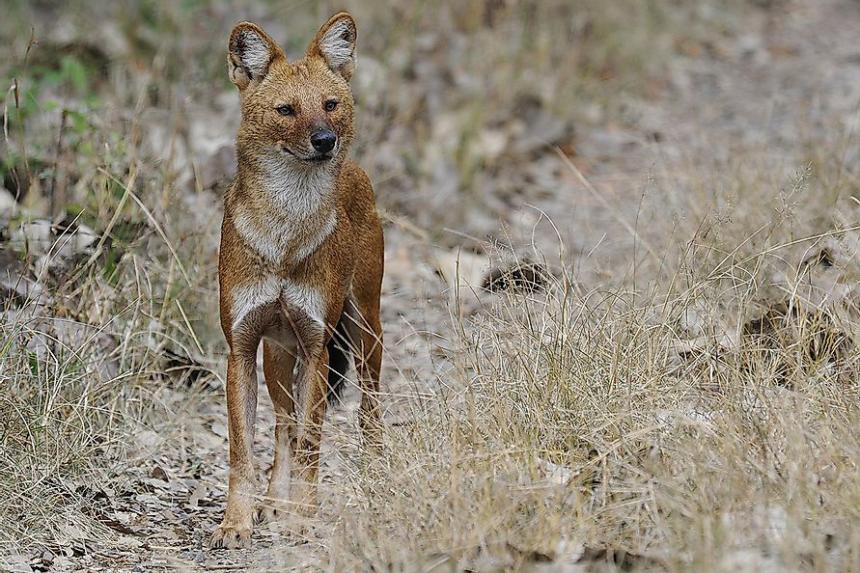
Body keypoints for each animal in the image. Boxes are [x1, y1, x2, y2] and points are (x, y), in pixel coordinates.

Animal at [210, 12, 384, 548]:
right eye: (286, 110)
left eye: (329, 105)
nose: (325, 140)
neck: (286, 234)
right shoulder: (242, 347)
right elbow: (244, 449)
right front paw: (237, 522)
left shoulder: (316, 346)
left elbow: (312, 440)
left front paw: (304, 519)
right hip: (276, 356)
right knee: (283, 426)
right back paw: (273, 503)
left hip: (365, 329)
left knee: (369, 408)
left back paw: (376, 474)